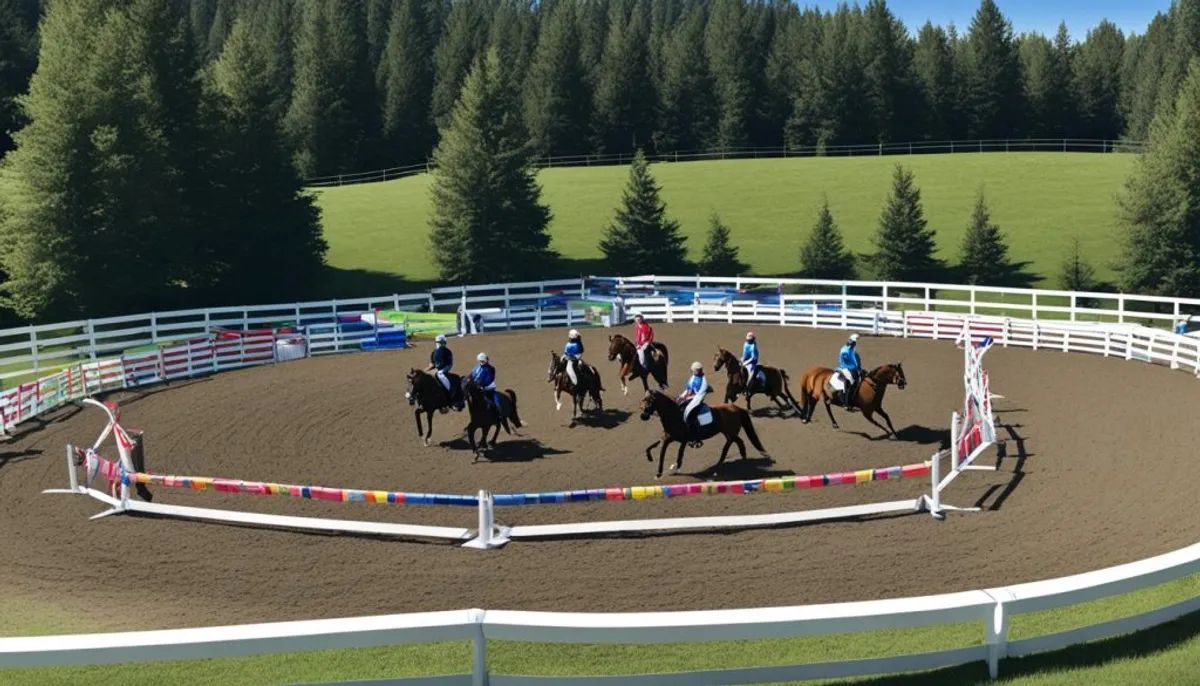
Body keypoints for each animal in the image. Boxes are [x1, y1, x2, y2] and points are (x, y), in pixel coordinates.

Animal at [638, 388, 768, 479]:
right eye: (644, 399)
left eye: (651, 400)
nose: (643, 416)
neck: (674, 415)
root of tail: (736, 408)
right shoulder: (667, 438)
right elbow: (657, 450)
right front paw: (656, 467)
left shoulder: (683, 439)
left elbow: (677, 454)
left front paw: (673, 468)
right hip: (728, 432)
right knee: (738, 441)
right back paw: (742, 457)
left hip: (730, 433)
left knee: (729, 444)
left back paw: (720, 462)